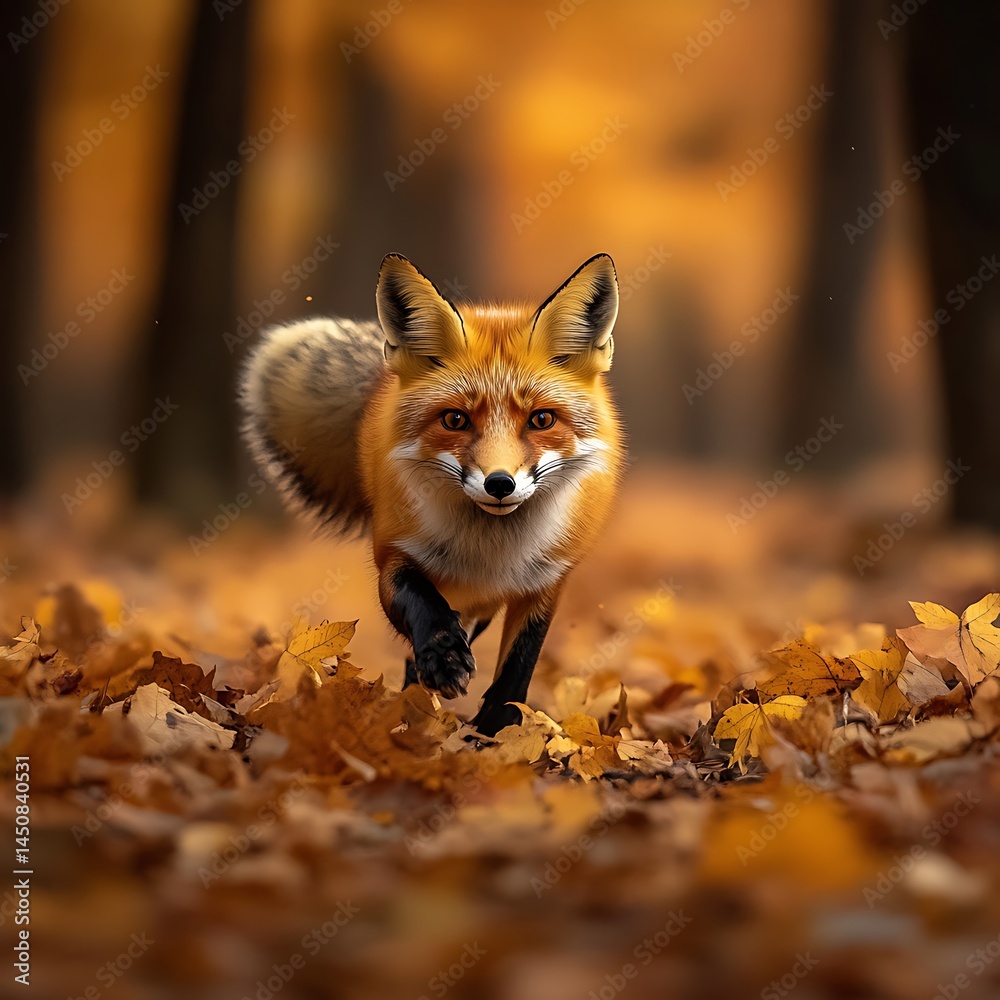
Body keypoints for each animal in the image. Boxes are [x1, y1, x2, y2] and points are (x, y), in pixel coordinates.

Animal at [240, 252, 624, 736]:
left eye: (541, 420)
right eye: (455, 420)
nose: (500, 484)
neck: (489, 550)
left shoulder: (546, 582)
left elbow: (518, 667)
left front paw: (496, 732)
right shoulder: (395, 554)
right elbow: (422, 604)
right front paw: (442, 661)